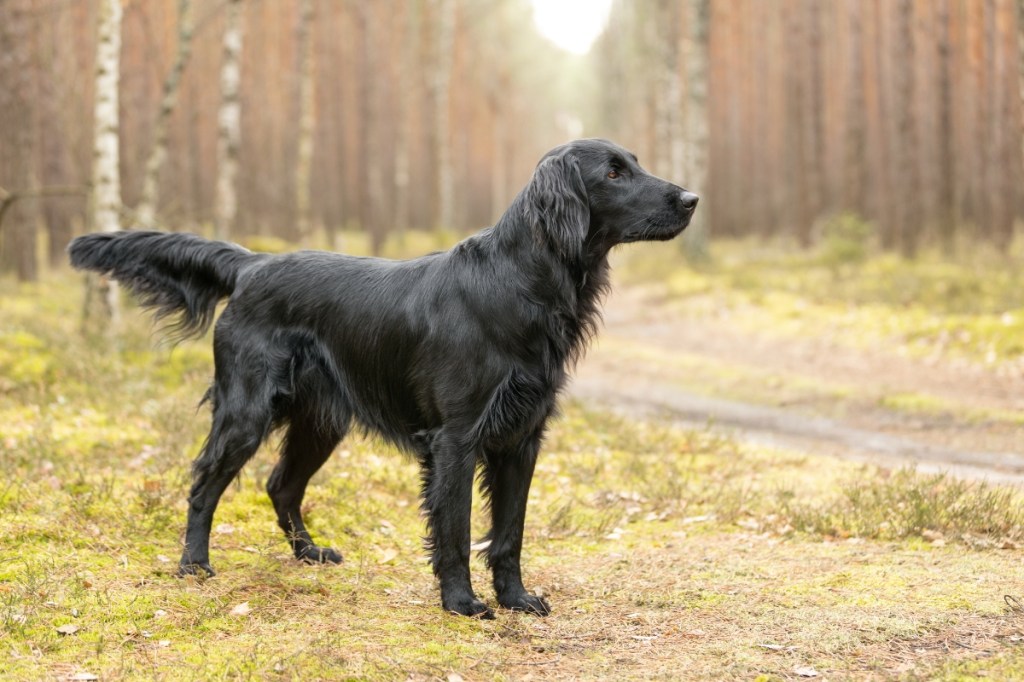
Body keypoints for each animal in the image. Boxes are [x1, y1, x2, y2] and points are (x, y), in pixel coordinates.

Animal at [70, 137, 696, 614]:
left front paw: (517, 599)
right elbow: (456, 531)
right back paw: (194, 564)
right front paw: (461, 603)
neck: (521, 282)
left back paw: (309, 554)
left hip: (322, 421)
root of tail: (253, 263)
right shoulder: (456, 438)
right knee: (205, 482)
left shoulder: (522, 437)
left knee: (281, 484)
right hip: (247, 409)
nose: (692, 198)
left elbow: (509, 532)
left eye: (633, 163)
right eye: (613, 172)